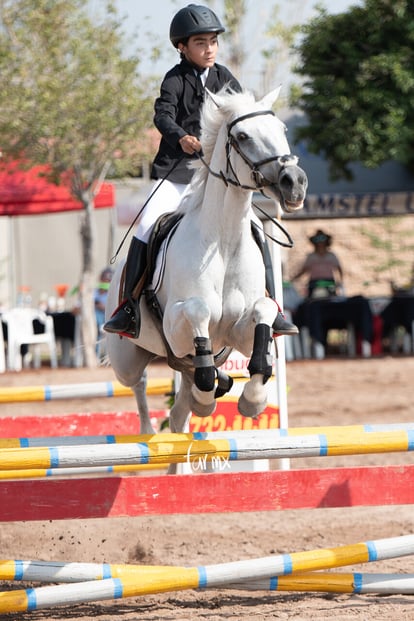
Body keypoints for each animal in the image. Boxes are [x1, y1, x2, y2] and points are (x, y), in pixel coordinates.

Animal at [106, 87, 308, 444]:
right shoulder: (175, 329)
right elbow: (198, 310)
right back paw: (150, 429)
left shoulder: (238, 333)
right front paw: (208, 396)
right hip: (127, 357)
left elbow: (264, 312)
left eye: (282, 130)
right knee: (139, 383)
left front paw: (253, 399)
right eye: (242, 136)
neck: (223, 242)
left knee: (178, 413)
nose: (294, 183)